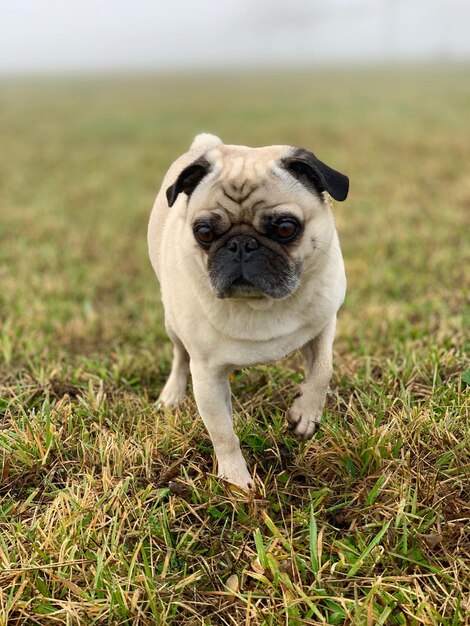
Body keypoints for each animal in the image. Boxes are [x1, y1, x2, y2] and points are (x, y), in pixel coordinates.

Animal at [148, 134, 348, 490]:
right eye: (204, 233)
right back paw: (171, 394)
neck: (260, 302)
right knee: (179, 356)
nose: (241, 244)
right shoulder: (207, 375)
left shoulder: (324, 323)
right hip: (173, 323)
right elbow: (223, 434)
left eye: (285, 228)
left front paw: (305, 415)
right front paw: (236, 481)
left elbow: (323, 371)